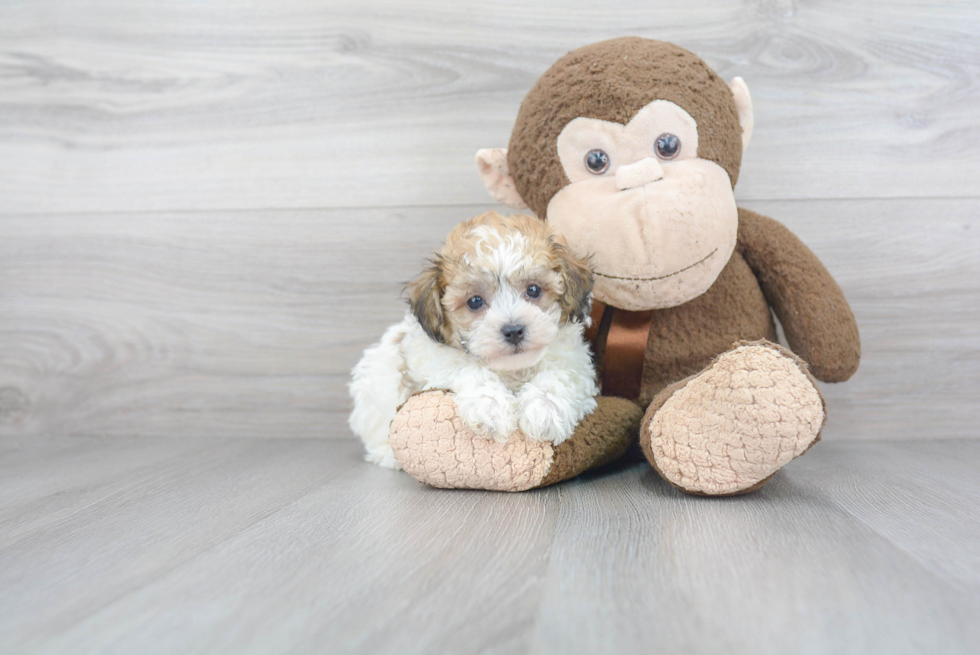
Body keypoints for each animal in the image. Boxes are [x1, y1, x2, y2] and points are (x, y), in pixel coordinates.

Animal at [350, 210, 596, 466]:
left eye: (534, 290)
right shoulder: (437, 364)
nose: (513, 330)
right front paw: (490, 408)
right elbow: (471, 371)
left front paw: (543, 409)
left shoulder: (576, 363)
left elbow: (559, 376)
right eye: (475, 301)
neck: (512, 369)